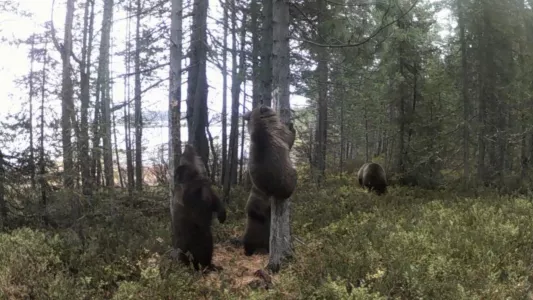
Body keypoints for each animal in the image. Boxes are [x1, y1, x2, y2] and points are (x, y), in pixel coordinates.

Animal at [171, 144, 225, 272]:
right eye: (183, 156)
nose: (188, 145)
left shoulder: (209, 194)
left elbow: (216, 201)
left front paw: (222, 216)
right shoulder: (184, 194)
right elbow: (189, 194)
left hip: (207, 241)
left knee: (206, 254)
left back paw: (212, 267)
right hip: (183, 246)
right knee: (182, 255)